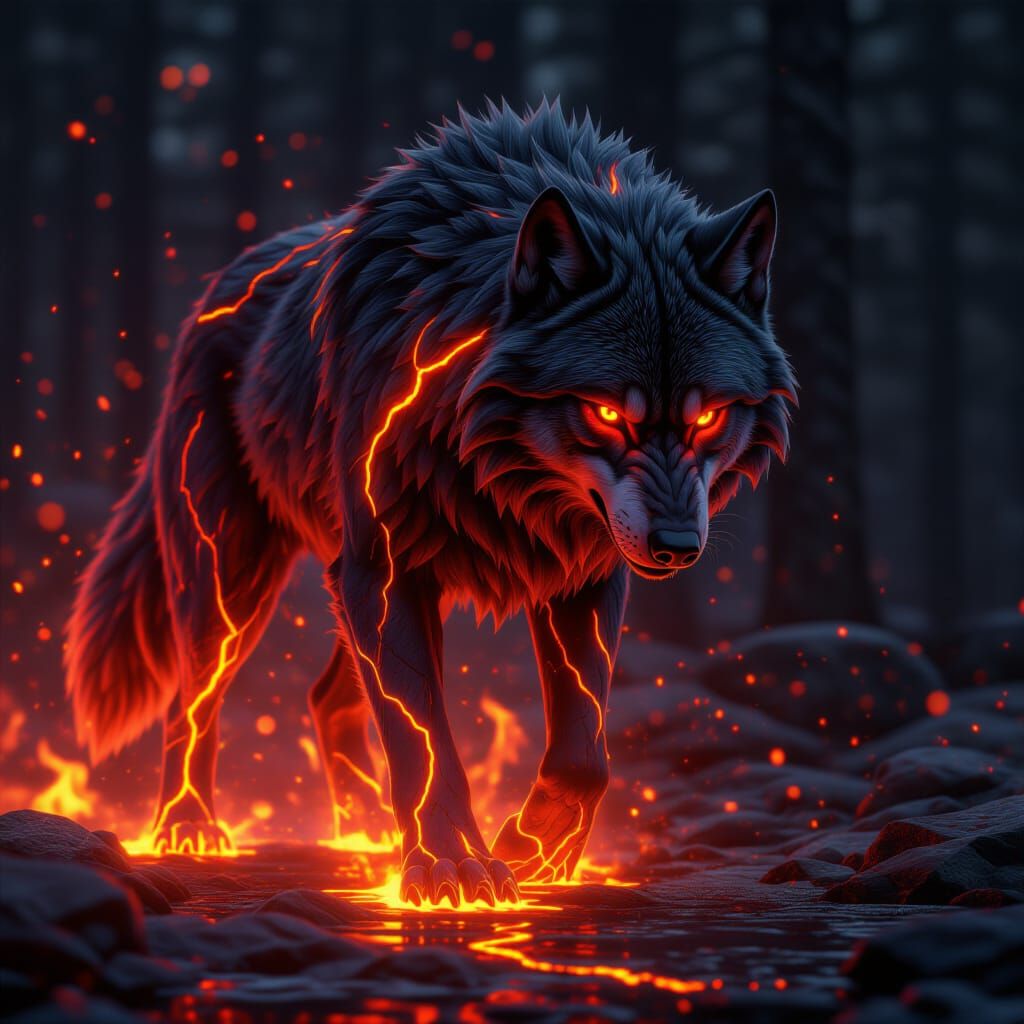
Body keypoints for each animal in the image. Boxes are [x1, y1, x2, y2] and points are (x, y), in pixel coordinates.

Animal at [66, 100, 795, 907]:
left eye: (708, 417)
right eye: (607, 413)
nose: (675, 546)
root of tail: (213, 290)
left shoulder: (582, 572)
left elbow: (585, 746)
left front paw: (534, 852)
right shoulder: (386, 571)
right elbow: (428, 741)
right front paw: (453, 864)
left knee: (327, 697)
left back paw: (363, 839)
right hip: (233, 578)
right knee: (193, 700)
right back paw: (190, 828)